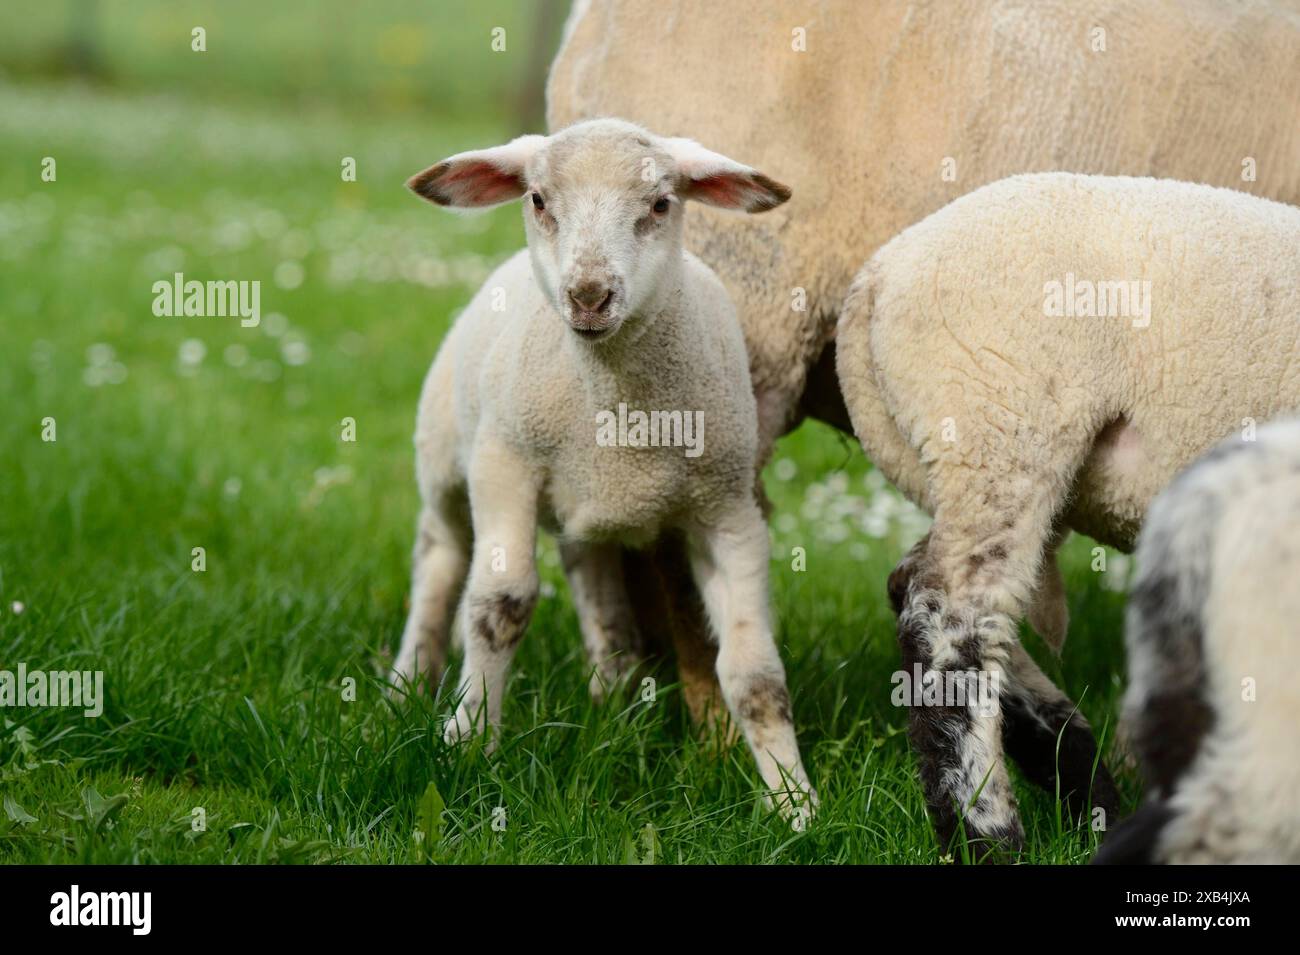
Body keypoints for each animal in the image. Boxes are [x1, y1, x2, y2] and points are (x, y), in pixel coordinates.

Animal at [389, 118, 815, 816]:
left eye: (661, 204)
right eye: (538, 200)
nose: (589, 296)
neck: (616, 408)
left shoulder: (728, 510)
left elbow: (754, 671)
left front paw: (793, 801)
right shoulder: (504, 464)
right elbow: (498, 606)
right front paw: (468, 739)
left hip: (583, 504)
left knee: (587, 569)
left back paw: (612, 693)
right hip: (447, 458)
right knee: (440, 557)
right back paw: (409, 679)